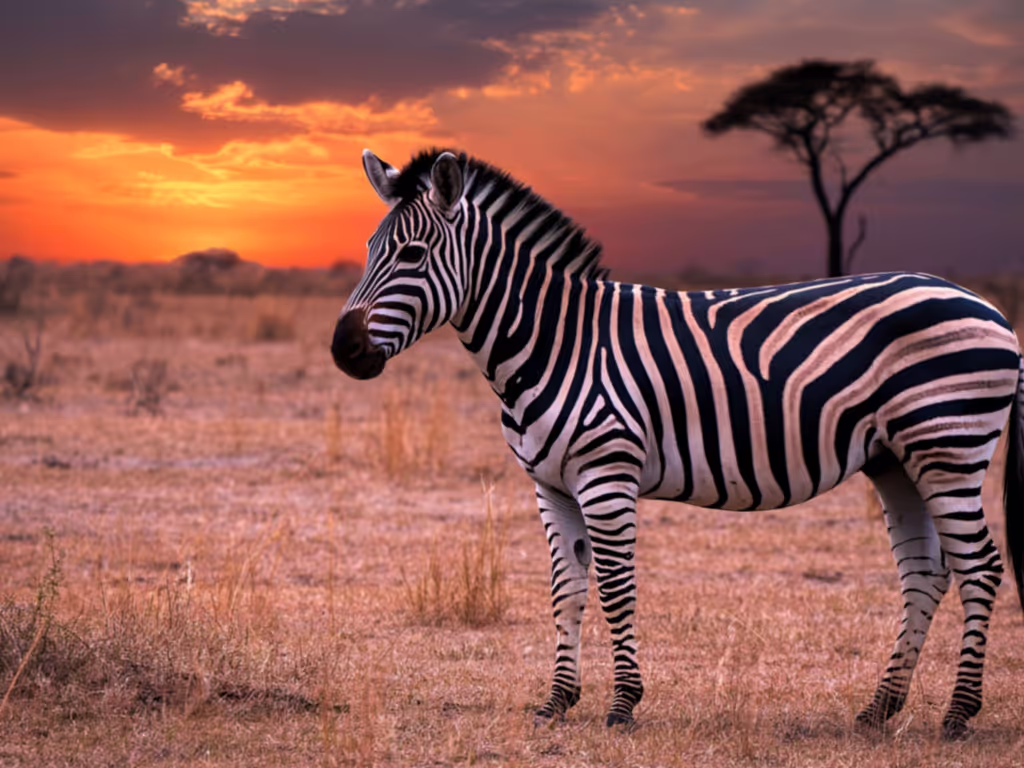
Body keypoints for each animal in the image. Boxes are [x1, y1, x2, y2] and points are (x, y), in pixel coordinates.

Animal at [330, 148, 1024, 740]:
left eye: (413, 254)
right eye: (367, 249)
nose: (343, 350)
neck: (555, 342)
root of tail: (989, 308)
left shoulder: (606, 475)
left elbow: (615, 587)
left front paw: (622, 705)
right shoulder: (549, 484)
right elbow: (567, 587)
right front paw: (556, 702)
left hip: (948, 448)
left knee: (980, 566)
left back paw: (958, 714)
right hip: (897, 461)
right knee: (926, 572)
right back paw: (879, 709)